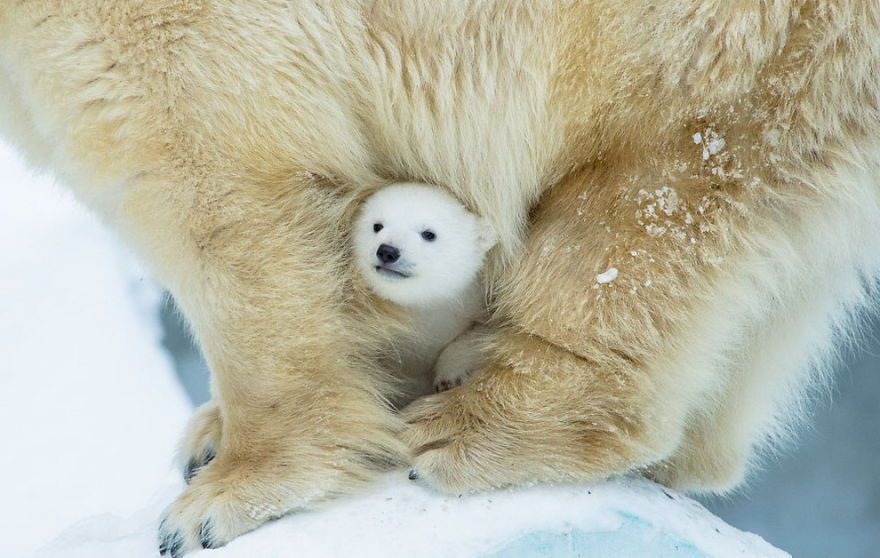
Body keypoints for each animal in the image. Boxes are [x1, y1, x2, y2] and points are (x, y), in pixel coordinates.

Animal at [0, 1, 876, 556]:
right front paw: (208, 441)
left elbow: (217, 185)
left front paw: (217, 504)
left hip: (716, 48)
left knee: (653, 204)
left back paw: (469, 424)